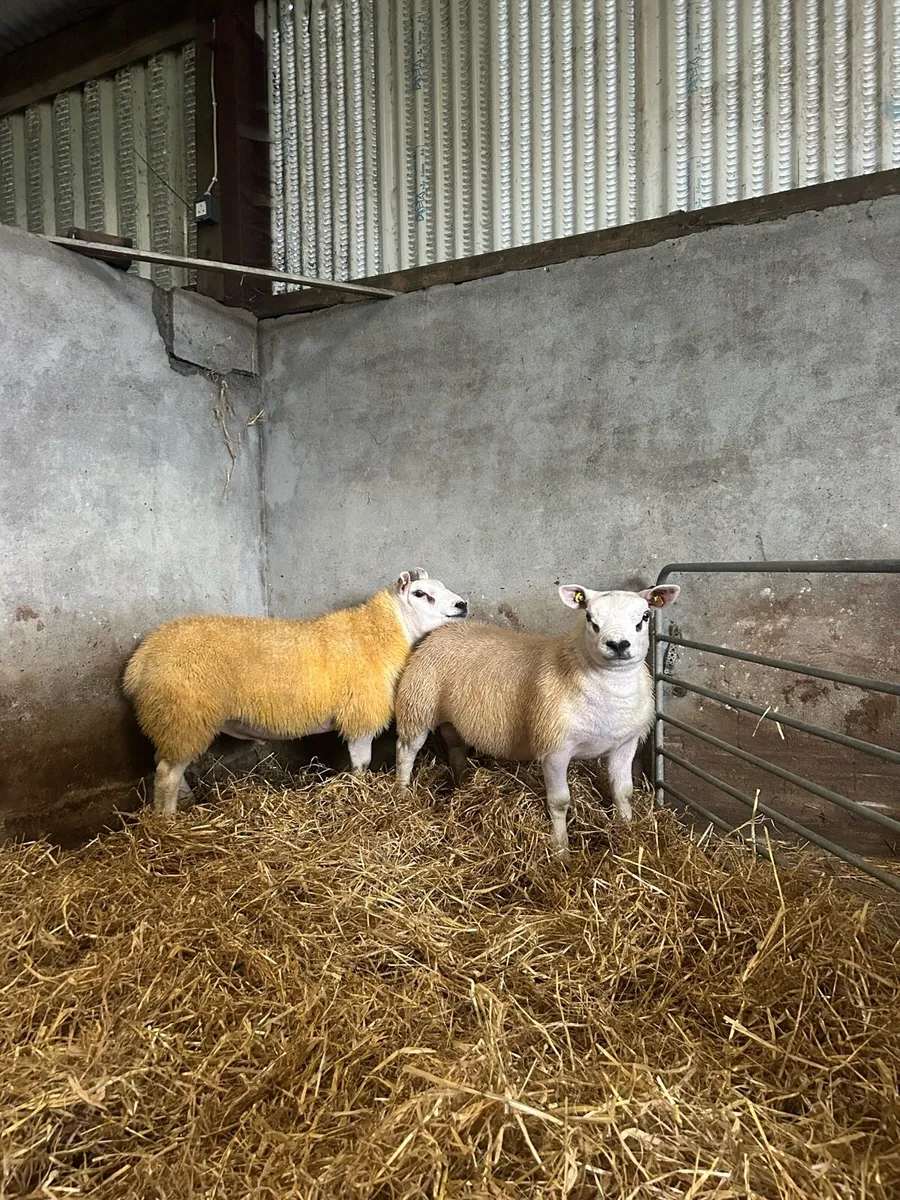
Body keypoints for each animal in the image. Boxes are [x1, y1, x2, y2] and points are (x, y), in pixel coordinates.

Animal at [123, 569, 468, 816]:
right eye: (421, 594)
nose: (462, 605)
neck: (382, 636)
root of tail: (142, 658)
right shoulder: (359, 715)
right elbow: (361, 763)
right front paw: (359, 792)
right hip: (185, 714)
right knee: (166, 773)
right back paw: (168, 819)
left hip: (172, 720)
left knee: (165, 762)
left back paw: (185, 801)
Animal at [394, 582, 679, 862]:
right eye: (589, 617)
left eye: (645, 616)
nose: (618, 644)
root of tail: (445, 629)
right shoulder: (554, 748)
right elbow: (559, 802)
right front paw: (562, 852)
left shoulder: (626, 744)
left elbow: (623, 792)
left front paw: (627, 830)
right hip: (418, 705)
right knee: (406, 751)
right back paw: (402, 792)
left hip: (450, 719)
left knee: (455, 747)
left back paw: (461, 782)